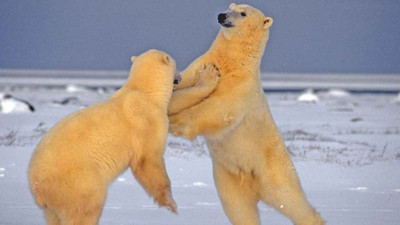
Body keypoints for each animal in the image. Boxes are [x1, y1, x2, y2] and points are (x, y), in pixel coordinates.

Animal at [169, 3, 324, 225]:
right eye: (230, 6)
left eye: (243, 13)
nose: (221, 15)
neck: (233, 60)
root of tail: (254, 186)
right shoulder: (202, 64)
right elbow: (183, 84)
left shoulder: (242, 84)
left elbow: (220, 108)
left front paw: (176, 121)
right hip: (229, 178)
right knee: (239, 209)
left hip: (274, 167)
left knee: (290, 199)